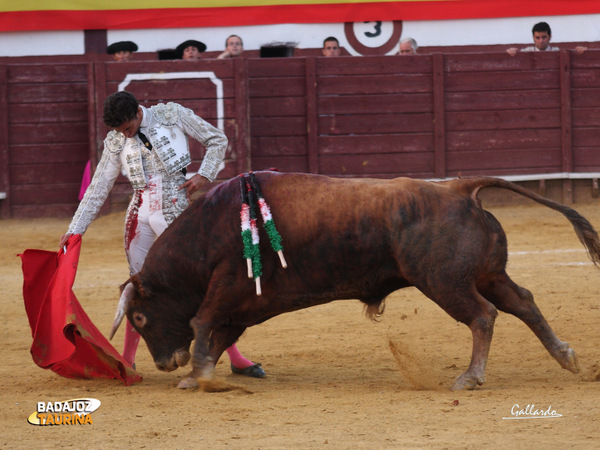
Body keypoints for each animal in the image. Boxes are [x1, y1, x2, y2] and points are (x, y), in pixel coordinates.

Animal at [111, 171, 600, 388]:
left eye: (139, 317)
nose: (163, 363)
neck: (209, 229)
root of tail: (459, 187)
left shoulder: (227, 287)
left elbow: (201, 323)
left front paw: (196, 374)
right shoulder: (244, 305)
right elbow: (216, 335)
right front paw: (199, 375)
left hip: (445, 283)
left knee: (483, 315)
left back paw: (471, 377)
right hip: (488, 274)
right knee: (523, 302)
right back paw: (566, 357)